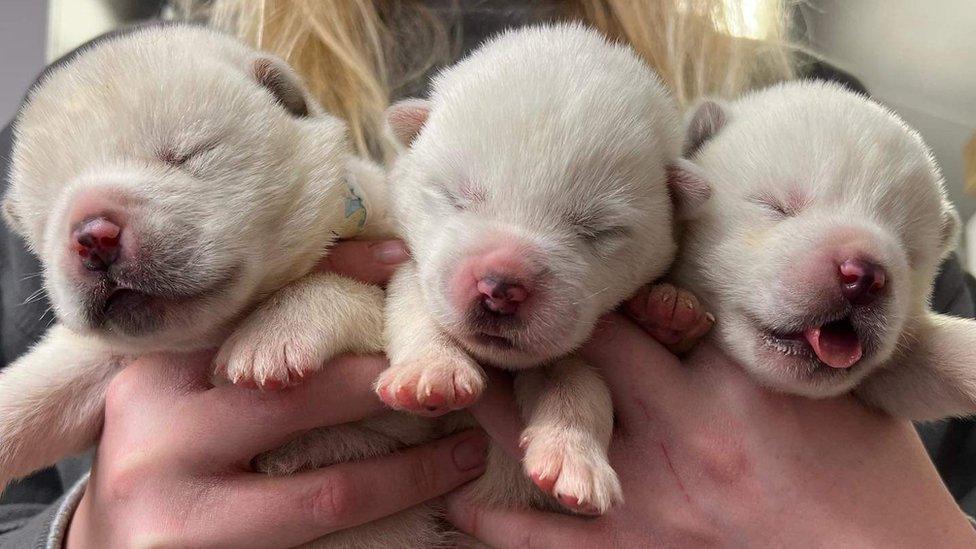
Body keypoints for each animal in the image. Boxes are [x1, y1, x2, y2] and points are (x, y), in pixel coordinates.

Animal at [0, 25, 450, 548]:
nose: (93, 236)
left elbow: (355, 292)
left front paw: (271, 336)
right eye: (48, 213)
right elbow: (42, 386)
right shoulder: (104, 358)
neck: (215, 329)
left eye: (185, 155)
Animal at [376, 23, 708, 512]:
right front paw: (432, 372)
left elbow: (579, 384)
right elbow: (413, 306)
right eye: (456, 195)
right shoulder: (415, 268)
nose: (500, 287)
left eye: (599, 229)